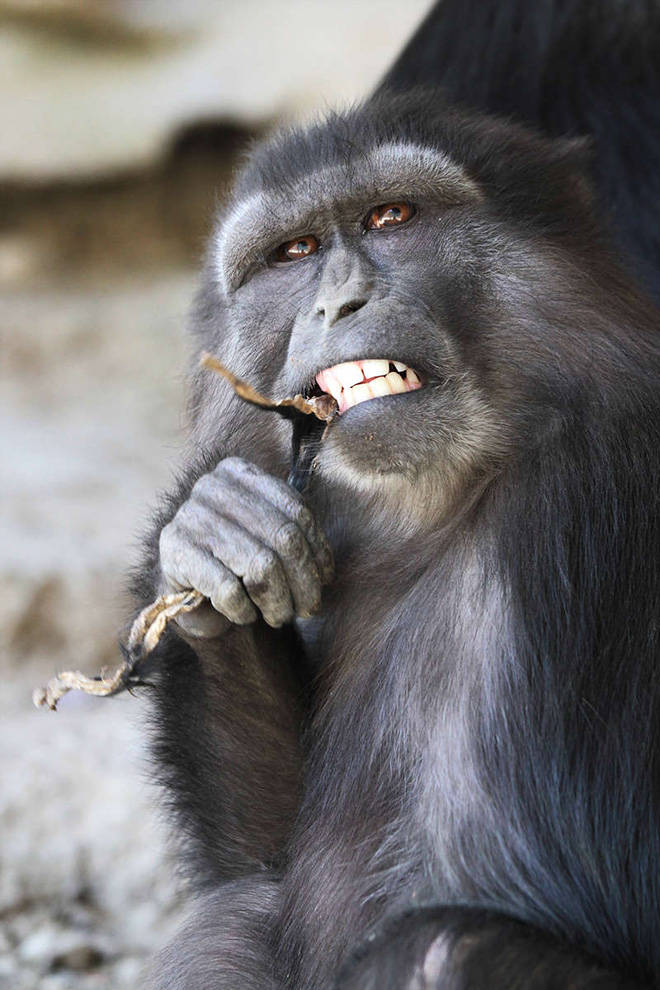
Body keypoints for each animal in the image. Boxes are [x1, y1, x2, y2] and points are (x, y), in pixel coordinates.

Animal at [133, 8, 660, 990]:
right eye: (294, 254)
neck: (448, 504)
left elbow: (494, 869)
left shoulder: (583, 498)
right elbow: (261, 863)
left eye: (393, 216)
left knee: (443, 946)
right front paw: (213, 541)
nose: (340, 300)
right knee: (231, 924)